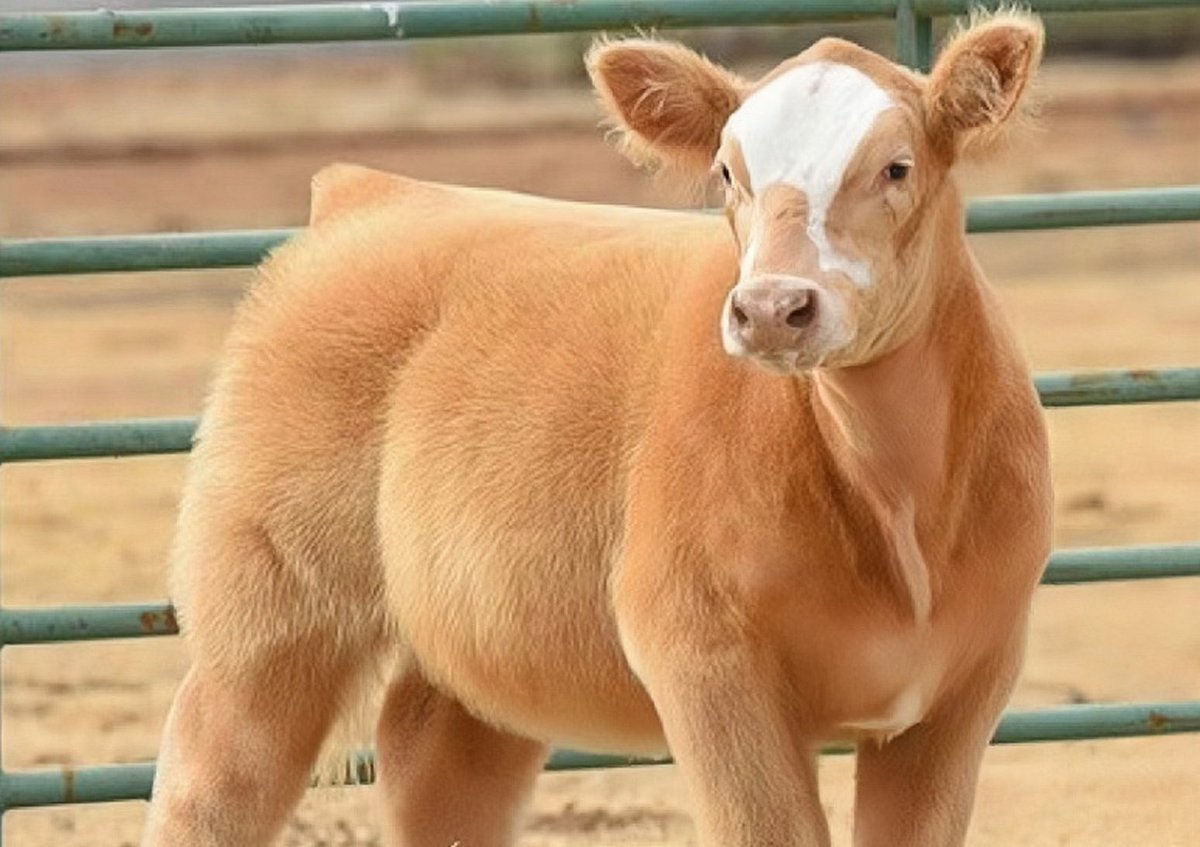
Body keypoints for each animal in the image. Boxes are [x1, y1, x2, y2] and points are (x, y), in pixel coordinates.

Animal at [142, 9, 1051, 839]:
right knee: (215, 776)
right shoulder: (704, 658)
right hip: (267, 612)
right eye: (727, 172)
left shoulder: (967, 685)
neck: (892, 500)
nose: (769, 307)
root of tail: (372, 193)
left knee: (433, 758)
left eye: (897, 167)